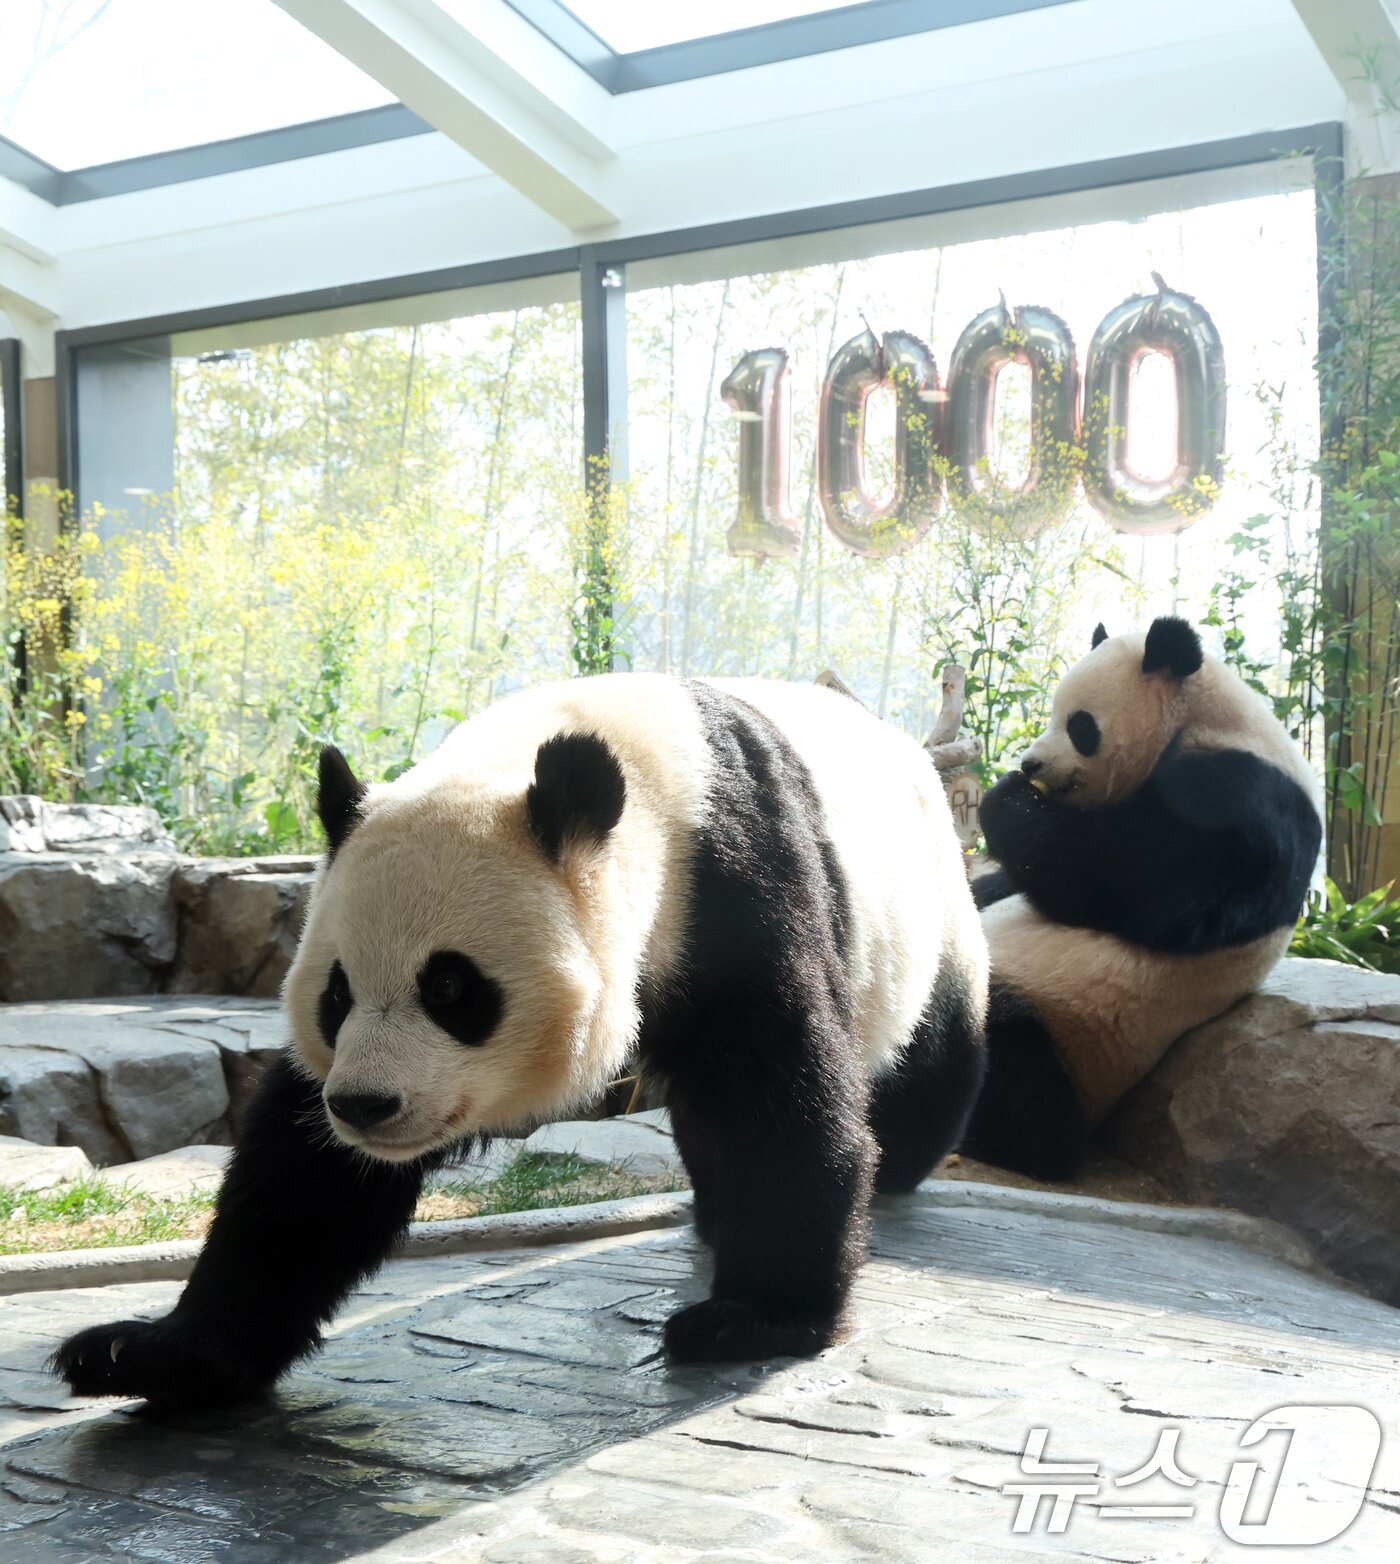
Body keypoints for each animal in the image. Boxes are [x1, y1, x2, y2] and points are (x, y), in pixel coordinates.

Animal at [54, 673, 987, 1408]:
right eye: (336, 993)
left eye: (450, 988)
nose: (364, 1106)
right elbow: (302, 1181)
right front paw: (146, 1354)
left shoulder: (735, 886)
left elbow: (780, 1100)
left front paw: (752, 1321)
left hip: (932, 915)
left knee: (933, 1057)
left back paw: (889, 1162)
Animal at [960, 615, 1323, 1182]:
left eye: (1080, 725)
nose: (1031, 762)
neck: (1207, 717)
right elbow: (1014, 883)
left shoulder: (1243, 800)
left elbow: (1127, 880)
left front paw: (1006, 793)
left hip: (1068, 1026)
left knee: (1013, 1077)